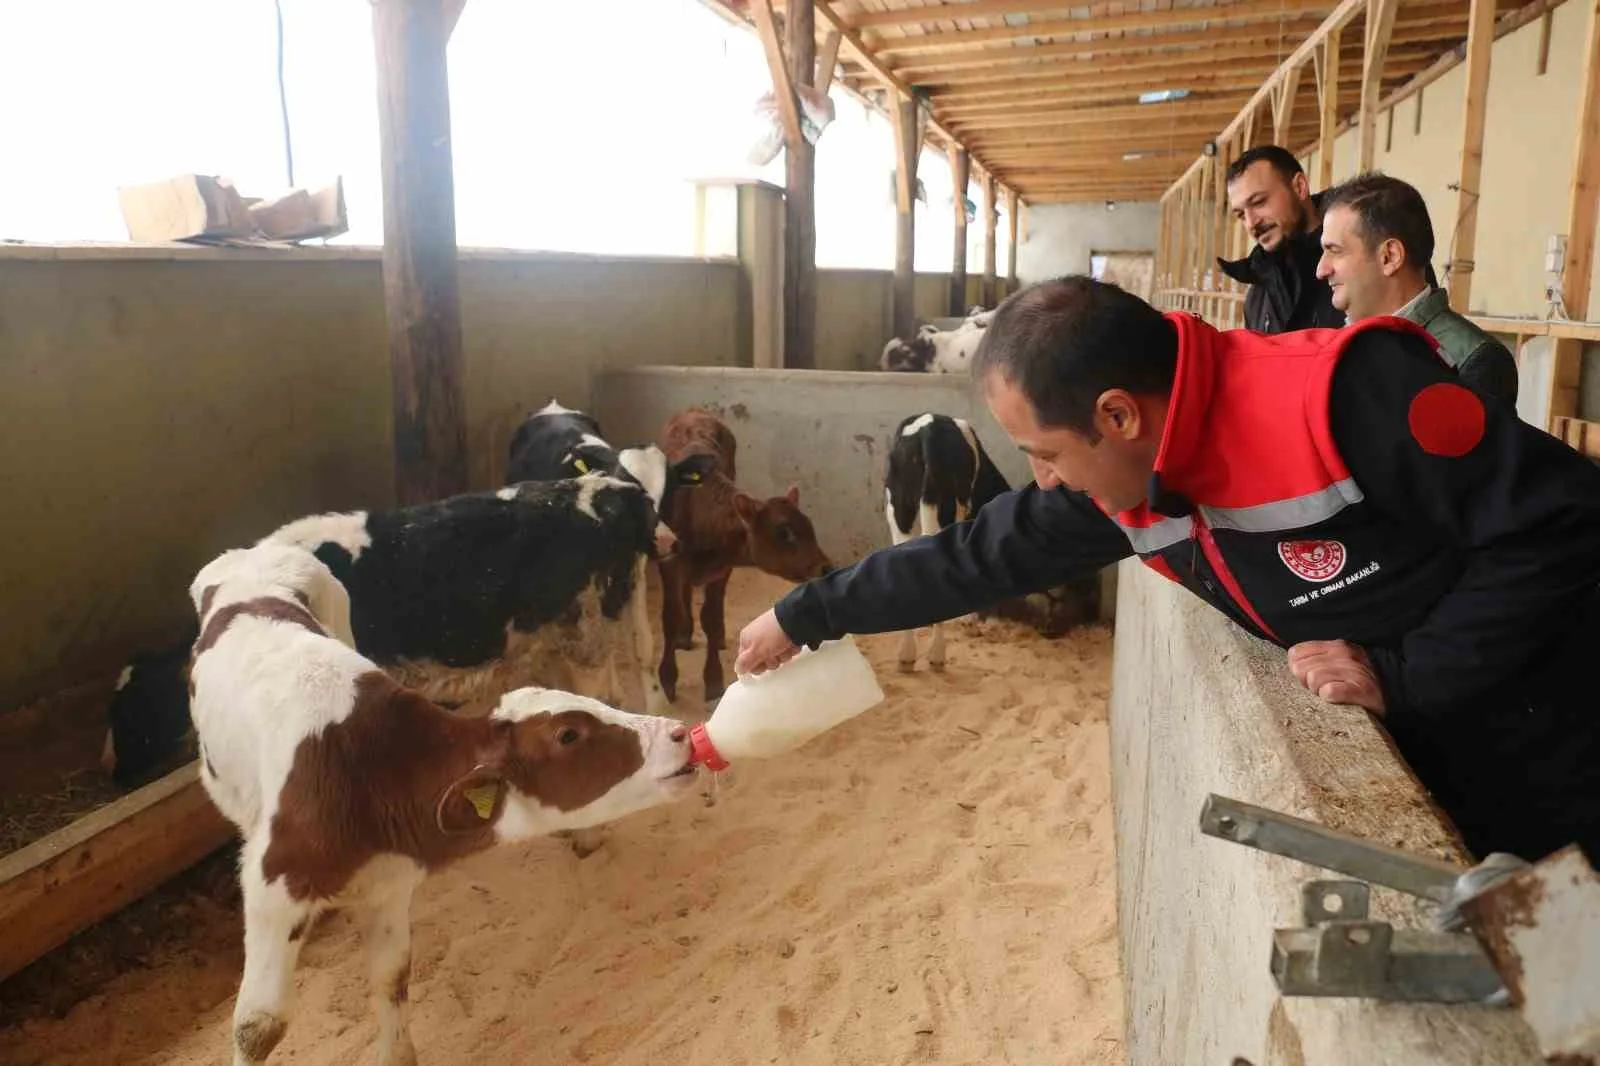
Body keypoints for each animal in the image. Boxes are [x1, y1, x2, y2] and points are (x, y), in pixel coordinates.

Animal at [187, 541, 694, 1062]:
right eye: (568, 734)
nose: (680, 734)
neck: (368, 773)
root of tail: (254, 551)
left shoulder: (389, 879)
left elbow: (391, 975)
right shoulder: (273, 887)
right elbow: (259, 1026)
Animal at [656, 409, 838, 701]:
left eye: (810, 528)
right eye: (784, 533)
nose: (825, 567)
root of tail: (696, 411)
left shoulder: (722, 567)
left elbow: (709, 618)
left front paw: (713, 679)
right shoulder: (669, 563)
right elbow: (670, 618)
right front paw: (668, 678)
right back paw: (685, 633)